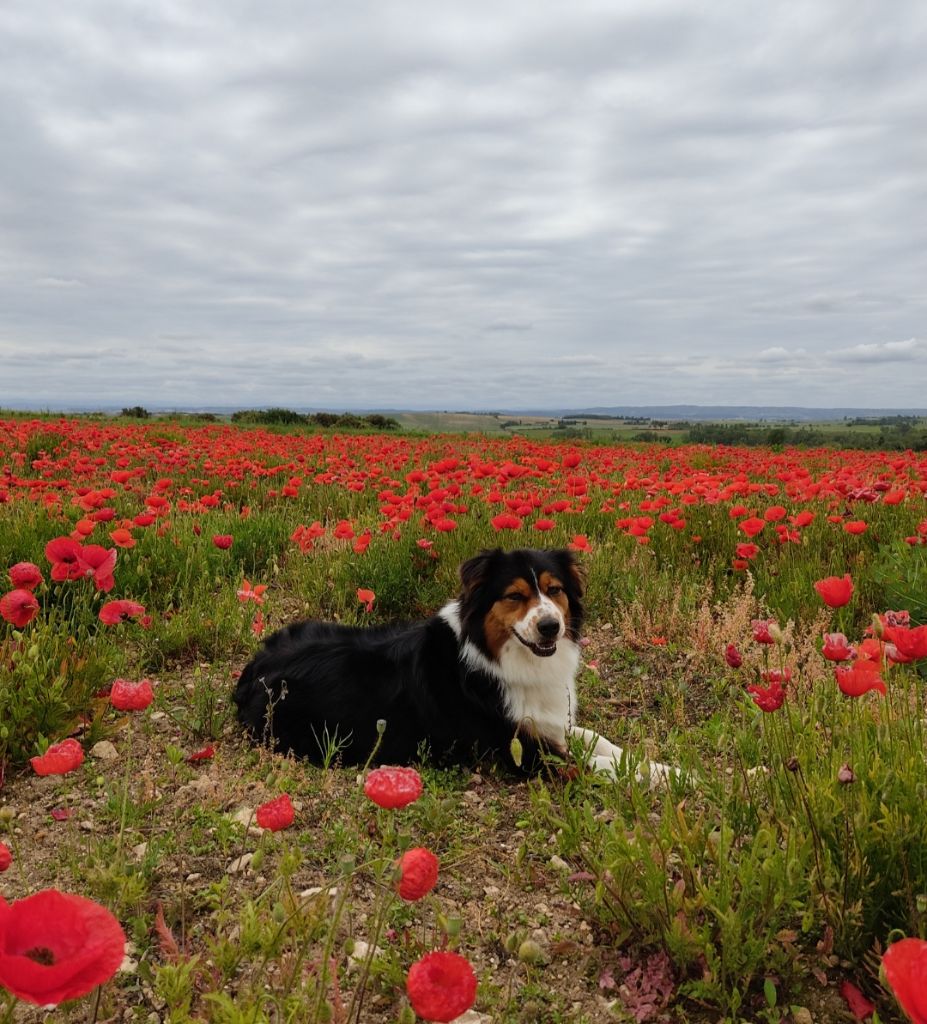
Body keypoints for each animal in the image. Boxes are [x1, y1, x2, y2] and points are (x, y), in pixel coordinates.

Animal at [235, 548, 671, 786]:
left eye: (555, 590)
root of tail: (254, 667)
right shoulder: (521, 750)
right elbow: (601, 764)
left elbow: (602, 742)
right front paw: (674, 777)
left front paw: (660, 765)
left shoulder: (548, 723)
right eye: (515, 596)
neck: (504, 658)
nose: (551, 626)